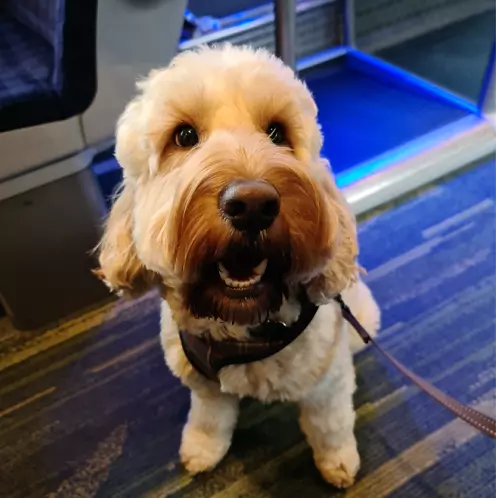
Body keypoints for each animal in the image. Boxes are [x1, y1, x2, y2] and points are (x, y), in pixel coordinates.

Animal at [99, 44, 382, 488]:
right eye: (184, 136)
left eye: (278, 133)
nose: (252, 205)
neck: (241, 327)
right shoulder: (204, 384)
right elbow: (209, 419)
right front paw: (201, 448)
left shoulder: (326, 382)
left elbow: (330, 425)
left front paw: (338, 461)